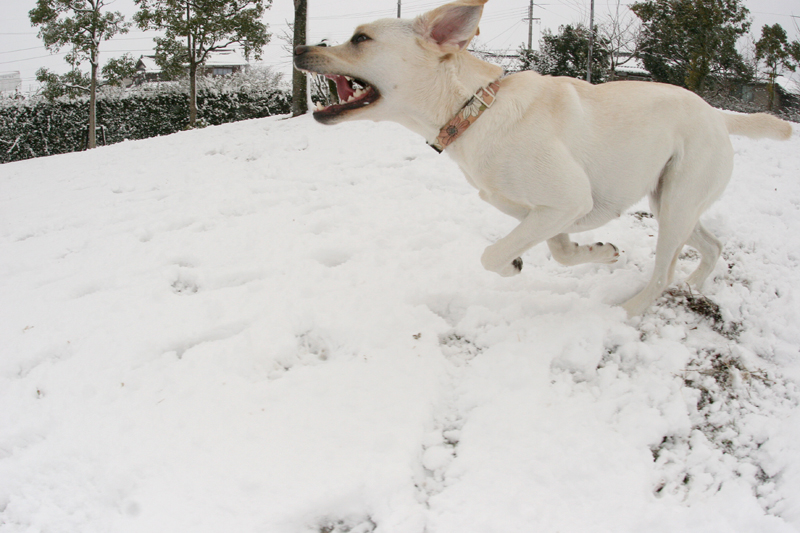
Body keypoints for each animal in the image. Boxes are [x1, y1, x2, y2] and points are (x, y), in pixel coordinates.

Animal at [296, 1, 792, 316]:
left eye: (360, 38)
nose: (299, 48)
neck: (474, 110)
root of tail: (718, 114)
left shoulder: (567, 200)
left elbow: (492, 254)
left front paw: (514, 264)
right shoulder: (546, 210)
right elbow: (559, 250)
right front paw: (597, 251)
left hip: (675, 206)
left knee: (662, 273)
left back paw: (628, 311)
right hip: (671, 200)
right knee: (713, 247)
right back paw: (693, 285)